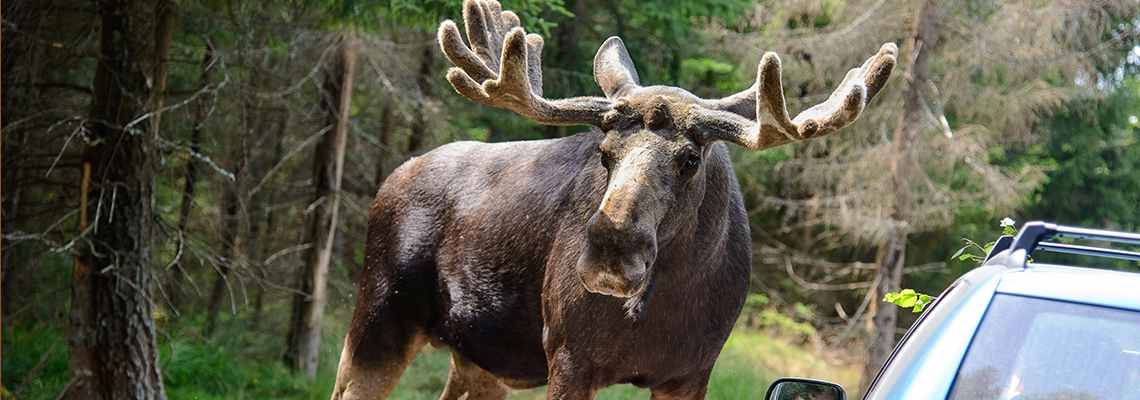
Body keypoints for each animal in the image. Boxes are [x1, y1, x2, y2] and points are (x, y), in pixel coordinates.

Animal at [332, 1, 893, 398]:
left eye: (691, 158)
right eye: (604, 152)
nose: (611, 249)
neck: (662, 302)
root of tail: (391, 178)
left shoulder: (690, 373)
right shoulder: (569, 358)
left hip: (479, 360)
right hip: (377, 320)